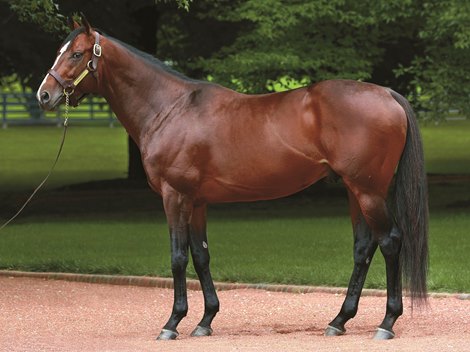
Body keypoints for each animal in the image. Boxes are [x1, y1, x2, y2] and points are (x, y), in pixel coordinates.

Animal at [36, 17, 428, 340]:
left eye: (76, 54)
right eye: (59, 52)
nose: (44, 95)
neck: (170, 109)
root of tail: (386, 94)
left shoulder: (174, 196)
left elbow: (177, 257)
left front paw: (172, 323)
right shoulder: (196, 201)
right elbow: (200, 255)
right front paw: (205, 321)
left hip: (368, 191)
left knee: (390, 242)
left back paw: (386, 323)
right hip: (354, 190)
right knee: (363, 248)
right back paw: (339, 321)